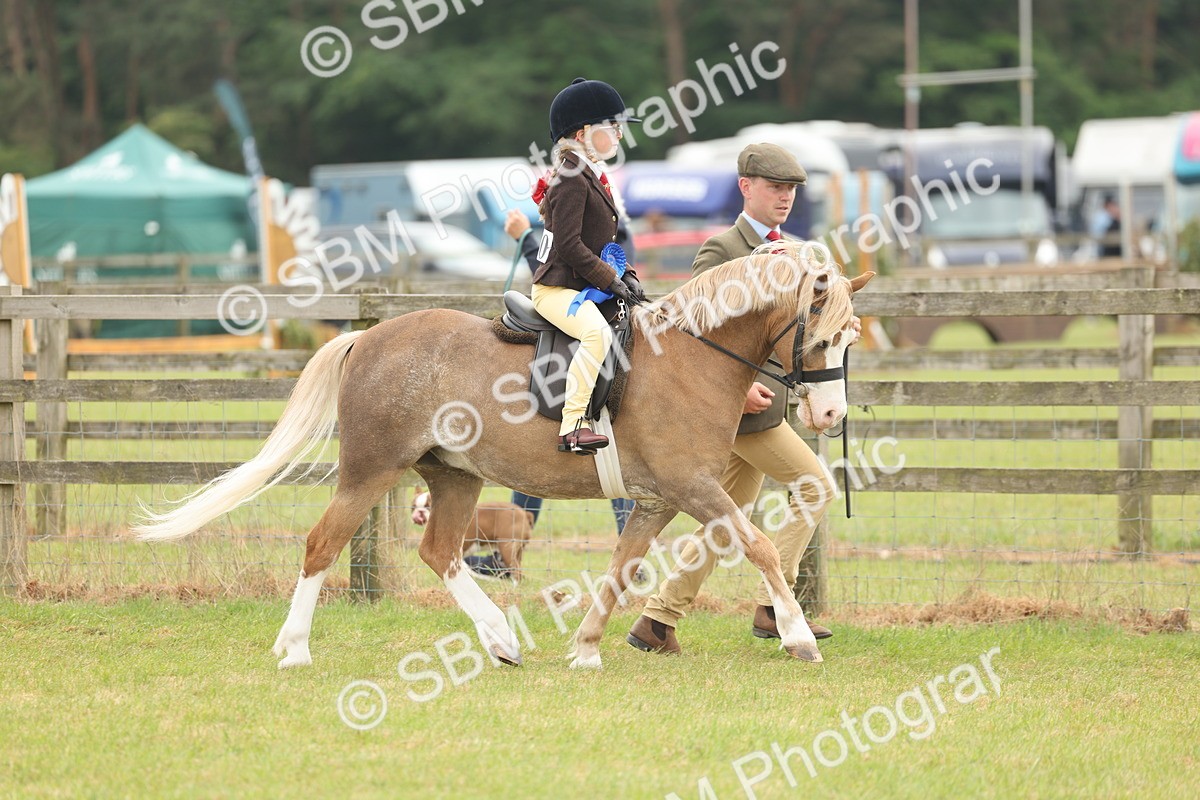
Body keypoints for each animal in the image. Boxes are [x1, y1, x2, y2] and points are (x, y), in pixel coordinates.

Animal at [134, 242, 873, 670]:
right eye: (822, 338)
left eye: (850, 340)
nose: (829, 417)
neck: (693, 356)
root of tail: (369, 336)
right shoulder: (694, 488)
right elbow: (761, 548)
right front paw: (798, 636)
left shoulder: (658, 500)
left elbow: (619, 571)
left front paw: (585, 649)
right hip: (371, 470)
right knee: (322, 544)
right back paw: (294, 649)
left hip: (453, 476)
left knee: (440, 553)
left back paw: (499, 639)